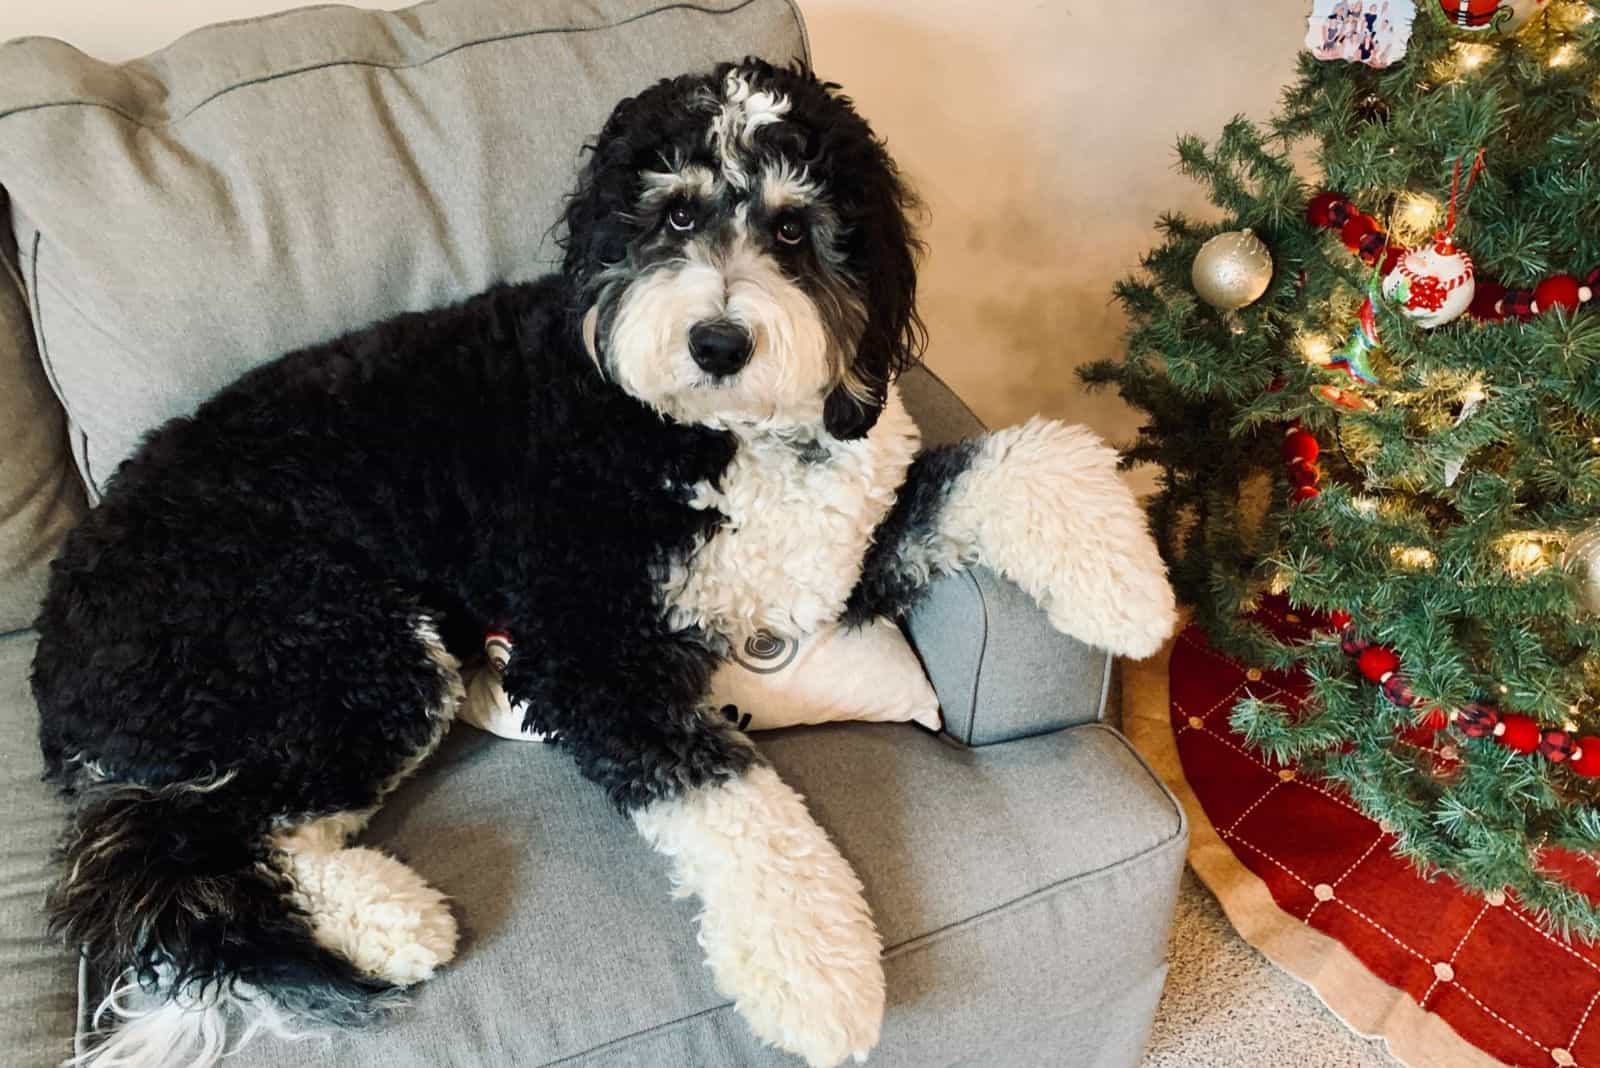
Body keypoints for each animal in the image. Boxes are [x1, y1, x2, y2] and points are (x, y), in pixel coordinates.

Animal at [25, 60, 1177, 1068]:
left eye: (793, 226)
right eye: (674, 216)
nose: (718, 342)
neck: (714, 434)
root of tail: (59, 637)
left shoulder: (837, 555)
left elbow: (1011, 458)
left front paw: (1130, 588)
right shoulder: (587, 654)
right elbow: (736, 801)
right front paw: (822, 977)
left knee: (233, 837)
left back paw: (388, 923)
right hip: (335, 643)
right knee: (183, 845)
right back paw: (390, 920)